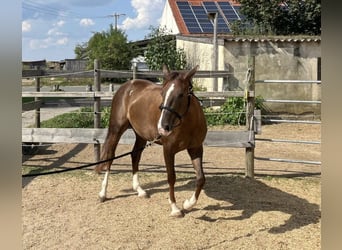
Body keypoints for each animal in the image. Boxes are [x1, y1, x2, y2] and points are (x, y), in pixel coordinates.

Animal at [96, 65, 208, 217]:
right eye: (162, 93)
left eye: (181, 95)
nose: (163, 127)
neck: (188, 124)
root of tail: (127, 86)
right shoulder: (168, 150)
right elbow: (171, 177)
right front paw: (175, 208)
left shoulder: (196, 148)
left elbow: (201, 178)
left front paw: (188, 203)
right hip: (116, 130)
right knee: (110, 157)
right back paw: (103, 193)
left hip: (141, 136)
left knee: (135, 156)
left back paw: (139, 190)